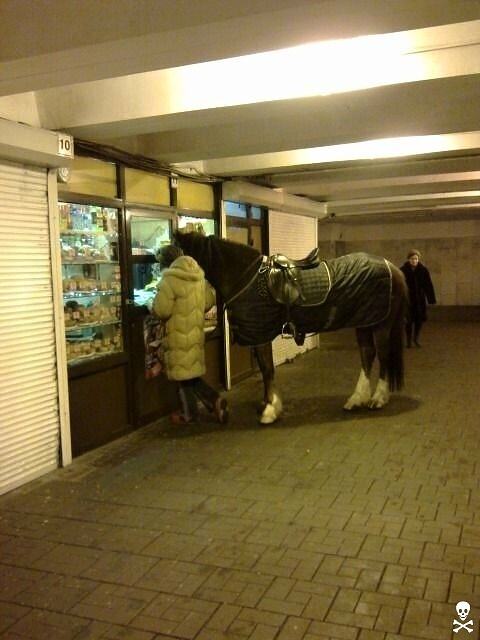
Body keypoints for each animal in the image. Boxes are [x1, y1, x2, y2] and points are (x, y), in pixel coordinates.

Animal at [174, 231, 406, 424]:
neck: (246, 277)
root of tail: (391, 267)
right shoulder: (259, 334)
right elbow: (266, 368)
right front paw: (268, 405)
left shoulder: (261, 334)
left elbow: (267, 370)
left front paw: (270, 410)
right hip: (365, 323)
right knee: (367, 355)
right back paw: (357, 399)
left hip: (380, 325)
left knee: (383, 356)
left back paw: (378, 399)